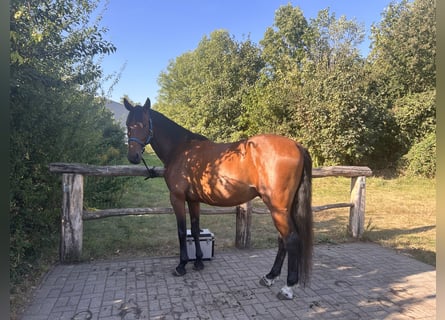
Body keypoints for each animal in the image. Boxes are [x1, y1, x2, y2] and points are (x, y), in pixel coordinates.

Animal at [123, 97, 314, 300]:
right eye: (128, 124)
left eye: (143, 124)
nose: (133, 156)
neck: (182, 150)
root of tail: (297, 146)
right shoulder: (193, 200)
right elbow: (195, 229)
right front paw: (198, 262)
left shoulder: (177, 198)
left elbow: (182, 232)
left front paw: (181, 265)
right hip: (285, 208)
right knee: (282, 239)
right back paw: (270, 276)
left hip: (278, 208)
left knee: (291, 239)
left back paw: (287, 287)